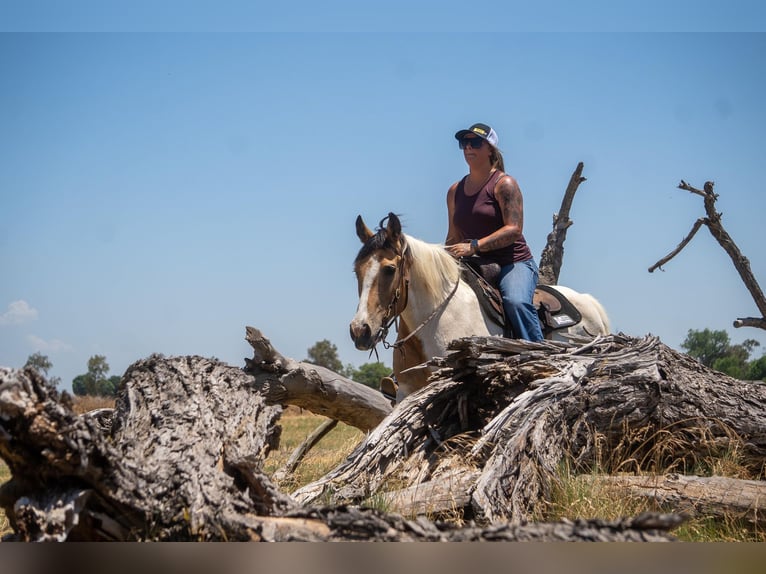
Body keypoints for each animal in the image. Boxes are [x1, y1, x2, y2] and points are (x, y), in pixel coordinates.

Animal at [349, 212, 610, 402]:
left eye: (390, 269)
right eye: (357, 270)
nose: (360, 330)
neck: (436, 319)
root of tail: (588, 303)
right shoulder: (406, 391)